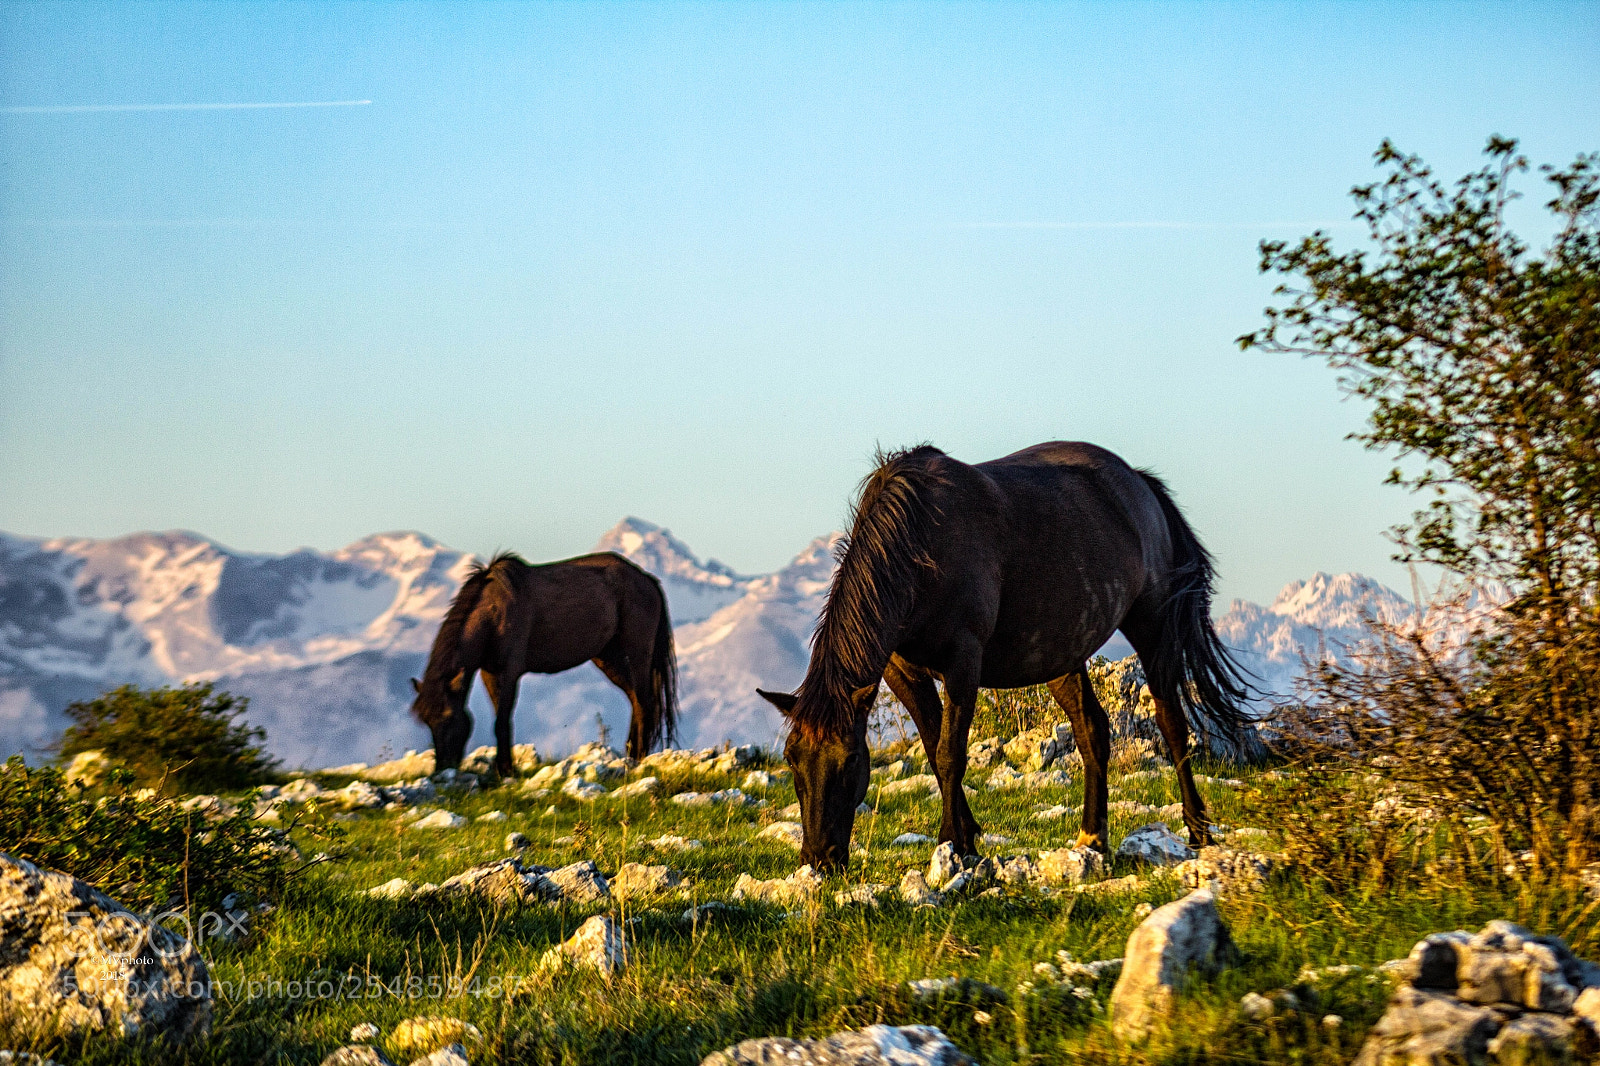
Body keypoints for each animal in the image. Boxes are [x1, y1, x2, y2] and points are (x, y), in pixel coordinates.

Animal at [411, 551, 678, 774]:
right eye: (427, 721)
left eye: (448, 718)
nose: (441, 771)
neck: (494, 613)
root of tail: (647, 580)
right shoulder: (489, 672)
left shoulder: (508, 672)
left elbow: (502, 721)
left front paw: (505, 771)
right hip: (609, 659)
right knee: (636, 701)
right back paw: (631, 754)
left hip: (637, 654)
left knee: (645, 703)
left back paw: (638, 758)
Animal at [757, 441, 1253, 872]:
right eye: (792, 761)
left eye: (850, 763)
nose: (819, 860)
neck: (923, 544)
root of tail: (1140, 483)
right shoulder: (901, 670)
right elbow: (934, 749)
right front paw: (967, 836)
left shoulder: (963, 662)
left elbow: (949, 755)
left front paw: (952, 846)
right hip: (1062, 654)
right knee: (1092, 730)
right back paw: (1092, 839)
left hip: (1152, 625)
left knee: (1172, 723)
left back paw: (1198, 832)